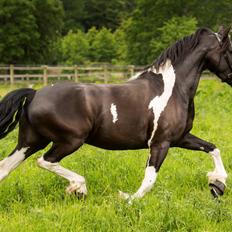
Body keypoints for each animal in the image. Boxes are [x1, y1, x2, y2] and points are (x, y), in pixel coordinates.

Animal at [0, 26, 232, 202]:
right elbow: (149, 179)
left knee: (4, 168)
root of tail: (35, 94)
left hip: (30, 142)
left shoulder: (180, 138)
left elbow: (213, 148)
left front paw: (217, 184)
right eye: (229, 50)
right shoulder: (161, 142)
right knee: (45, 161)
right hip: (70, 140)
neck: (173, 89)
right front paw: (127, 199)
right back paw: (79, 187)